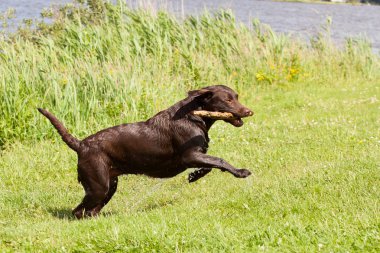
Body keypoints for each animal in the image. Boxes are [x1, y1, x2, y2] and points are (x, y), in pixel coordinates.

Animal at [38, 84, 252, 217]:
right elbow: (219, 160)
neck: (193, 115)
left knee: (89, 211)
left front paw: (193, 176)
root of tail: (81, 145)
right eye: (227, 100)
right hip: (98, 186)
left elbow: (210, 164)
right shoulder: (189, 155)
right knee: (78, 211)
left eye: (236, 97)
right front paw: (241, 172)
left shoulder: (196, 155)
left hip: (109, 185)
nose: (248, 111)